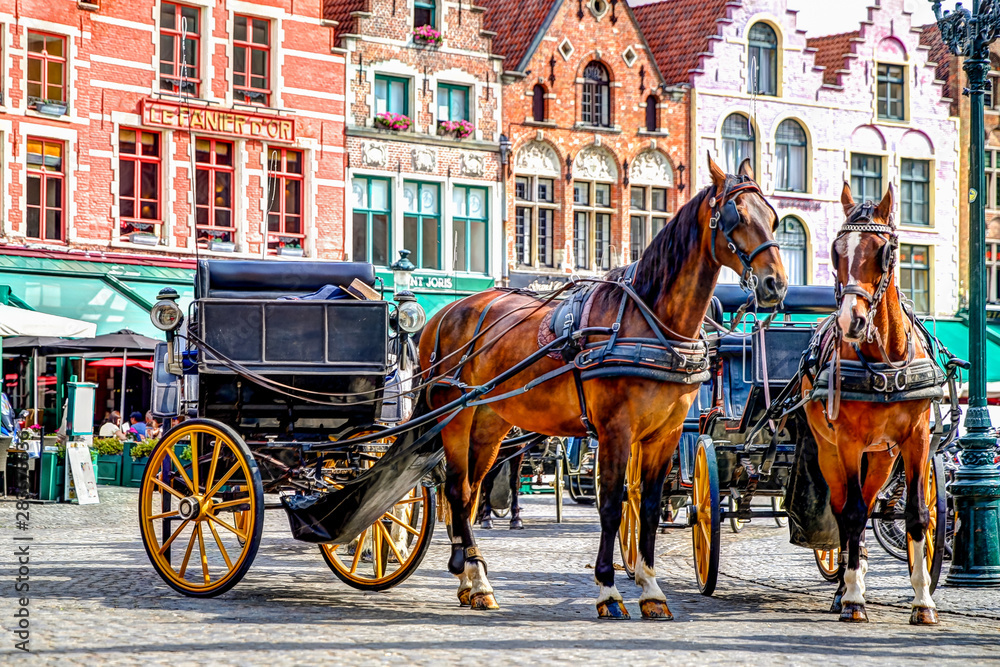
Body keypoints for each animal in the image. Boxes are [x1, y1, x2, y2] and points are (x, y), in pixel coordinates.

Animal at [418, 155, 787, 618]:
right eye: (737, 217)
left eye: (773, 218)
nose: (776, 284)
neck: (650, 321)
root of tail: (444, 314)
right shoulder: (615, 430)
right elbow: (612, 506)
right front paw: (609, 590)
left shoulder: (665, 434)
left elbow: (649, 507)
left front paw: (651, 589)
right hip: (454, 413)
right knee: (455, 488)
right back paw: (476, 577)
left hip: (490, 422)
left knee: (468, 493)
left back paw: (473, 580)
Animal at [801, 183, 940, 625]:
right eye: (836, 251)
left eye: (883, 251)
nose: (852, 322)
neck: (886, 359)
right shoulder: (847, 441)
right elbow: (852, 514)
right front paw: (853, 599)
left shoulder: (916, 439)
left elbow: (917, 514)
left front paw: (923, 602)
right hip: (829, 451)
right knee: (845, 508)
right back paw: (844, 590)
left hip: (881, 457)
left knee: (864, 500)